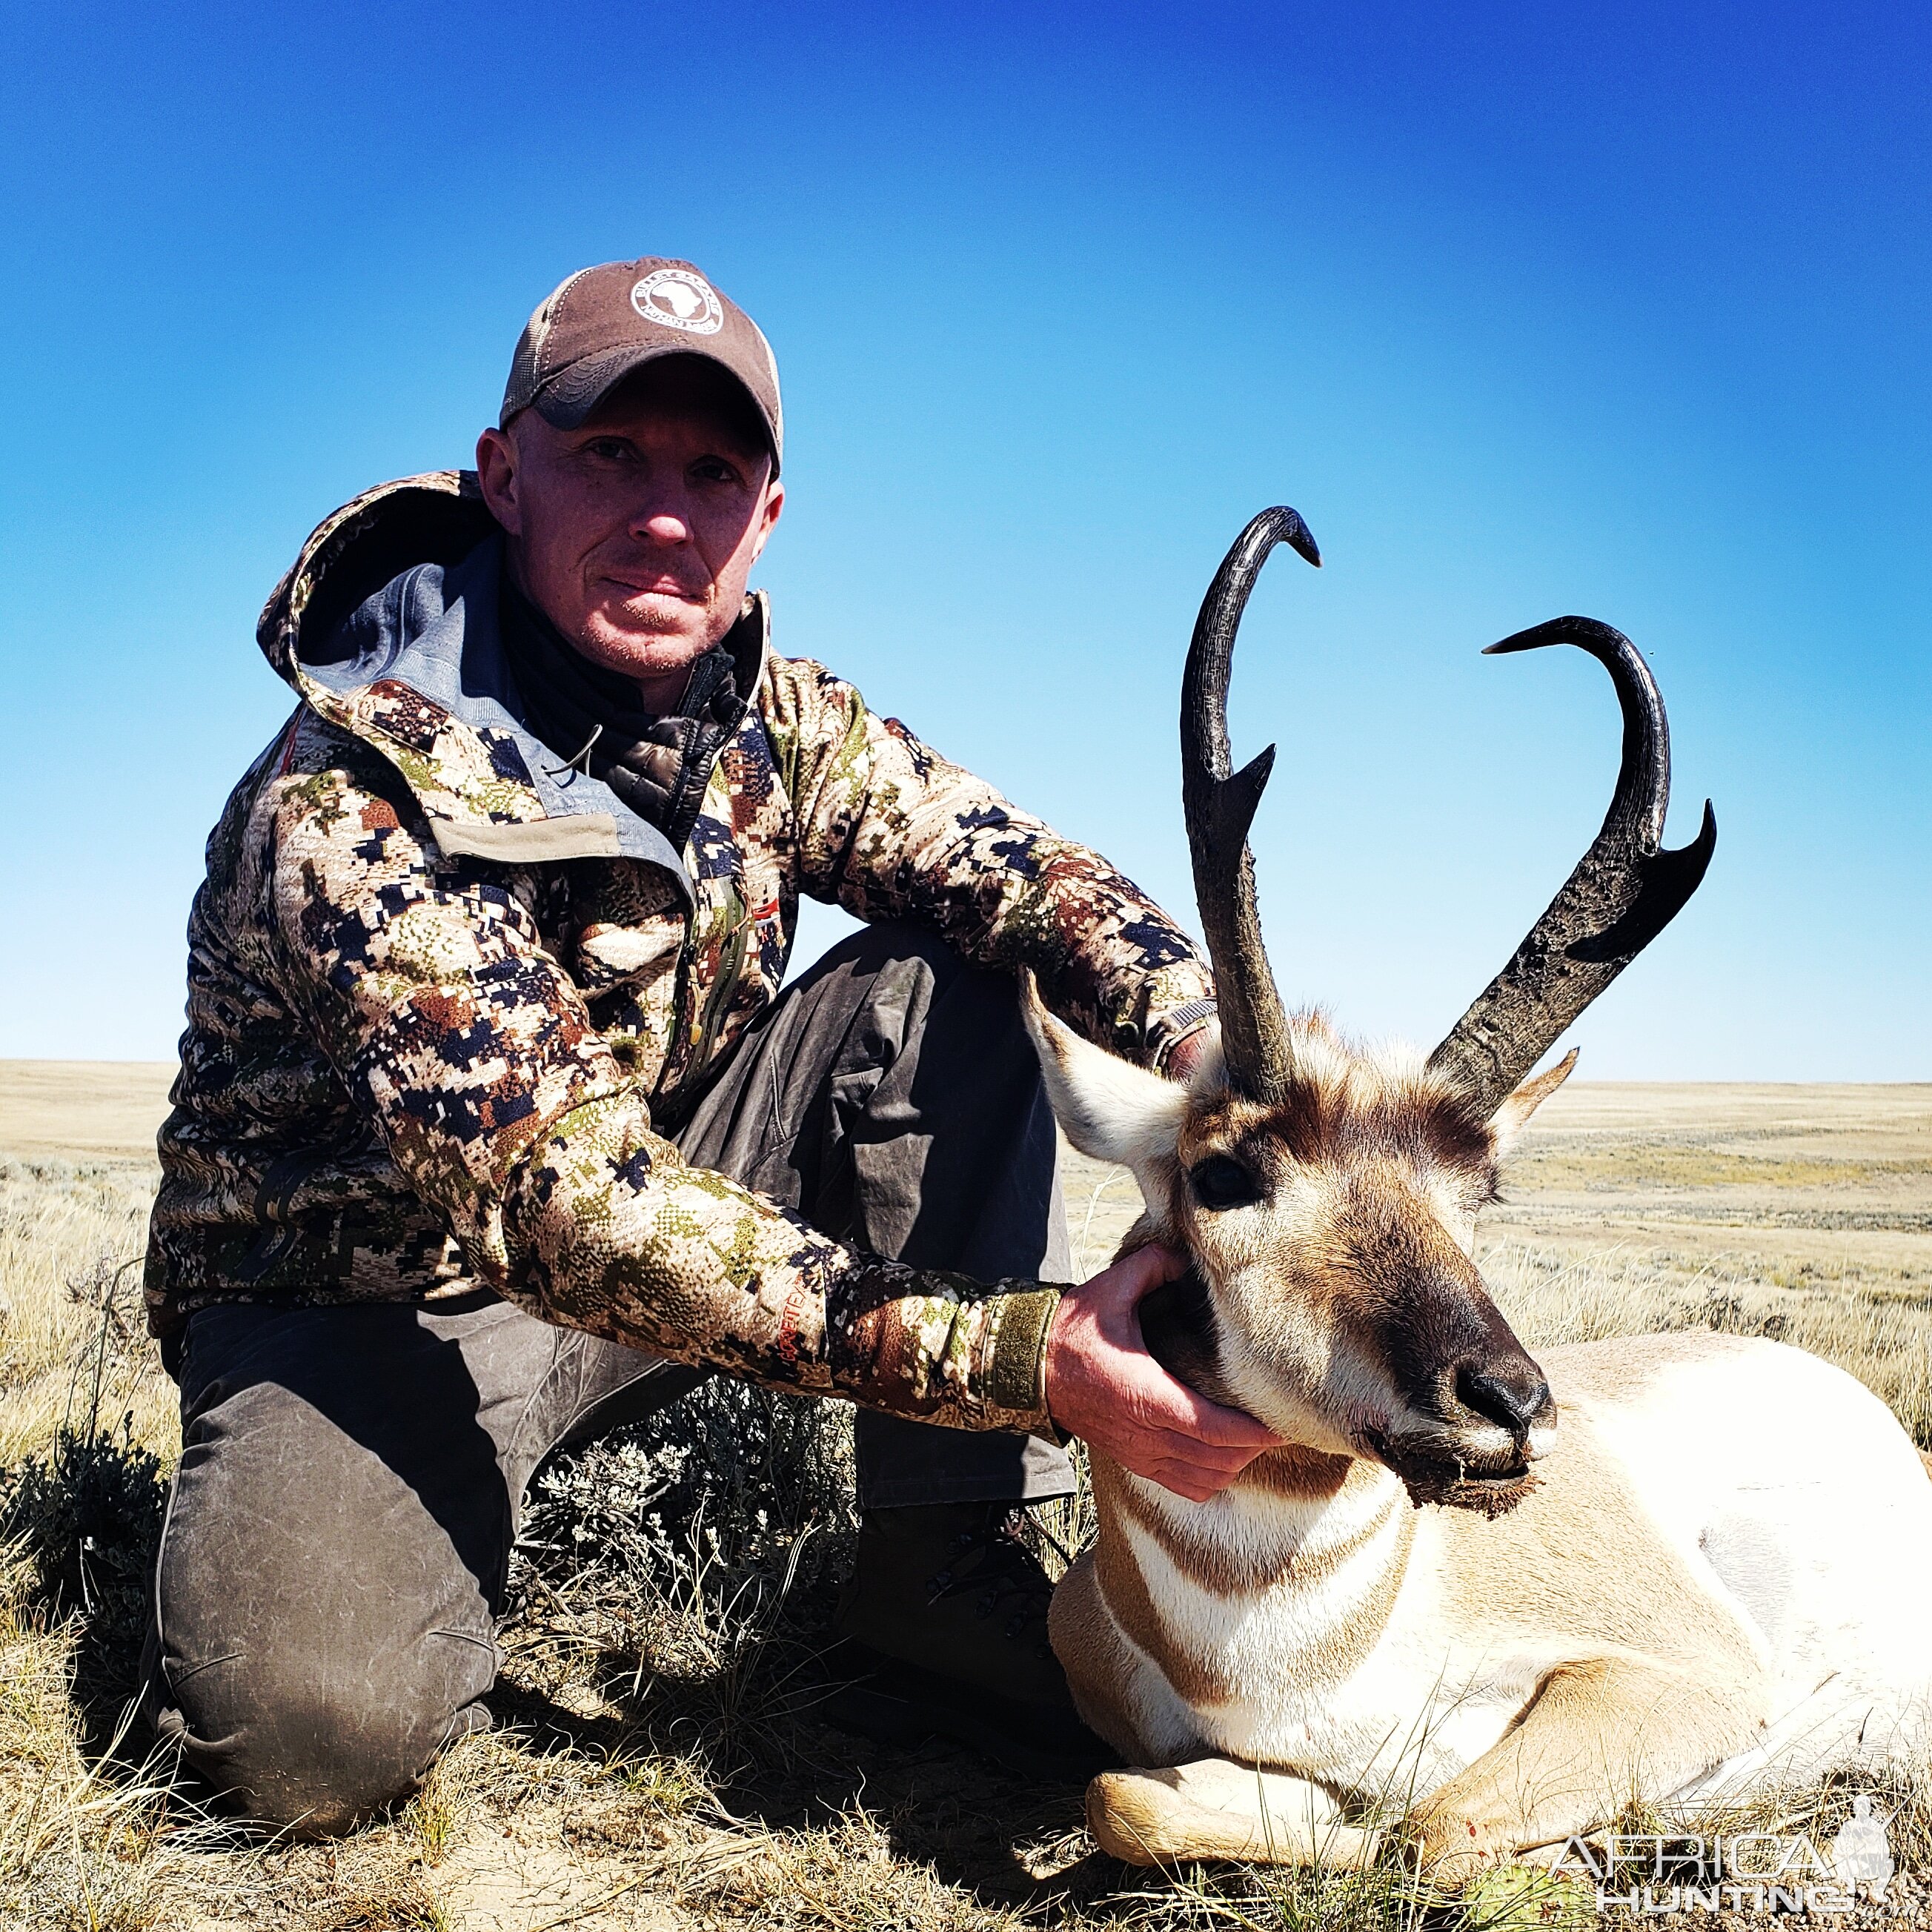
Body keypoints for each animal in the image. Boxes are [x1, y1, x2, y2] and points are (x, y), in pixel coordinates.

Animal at [1027, 510, 1932, 1870]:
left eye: (1478, 1190)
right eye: (1225, 1172)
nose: (1507, 1403)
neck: (1283, 1658)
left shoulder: (1684, 1678)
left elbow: (1430, 1827)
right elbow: (1126, 1795)